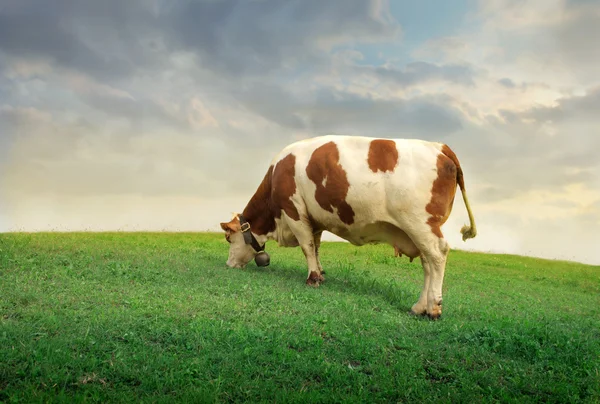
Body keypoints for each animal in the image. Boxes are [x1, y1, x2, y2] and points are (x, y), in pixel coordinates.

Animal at [218, 136, 476, 318]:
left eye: (229, 238)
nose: (228, 264)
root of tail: (440, 147)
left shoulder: (294, 211)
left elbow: (306, 246)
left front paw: (312, 279)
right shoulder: (314, 219)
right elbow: (316, 247)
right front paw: (320, 273)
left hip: (420, 223)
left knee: (437, 255)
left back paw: (433, 308)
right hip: (419, 230)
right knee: (427, 263)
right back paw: (419, 306)